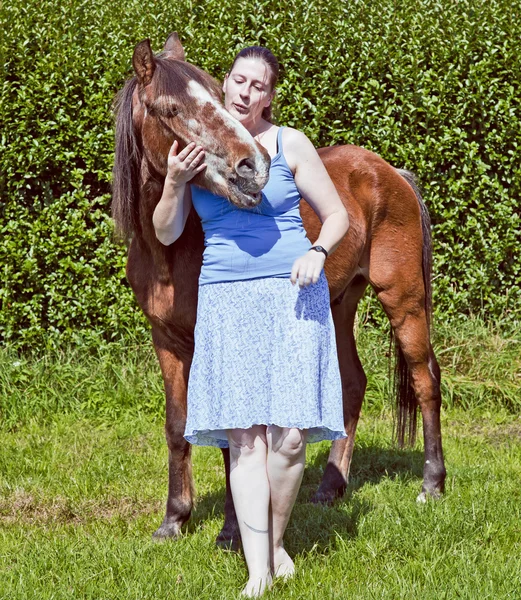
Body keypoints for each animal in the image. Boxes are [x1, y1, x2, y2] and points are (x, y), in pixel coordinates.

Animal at [111, 32, 444, 548]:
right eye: (170, 108)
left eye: (218, 95)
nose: (252, 165)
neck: (171, 249)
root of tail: (390, 172)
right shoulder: (165, 340)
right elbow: (177, 425)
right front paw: (173, 519)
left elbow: (231, 430)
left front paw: (232, 531)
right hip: (338, 302)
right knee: (353, 383)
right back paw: (330, 487)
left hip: (403, 298)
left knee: (426, 377)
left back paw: (431, 483)